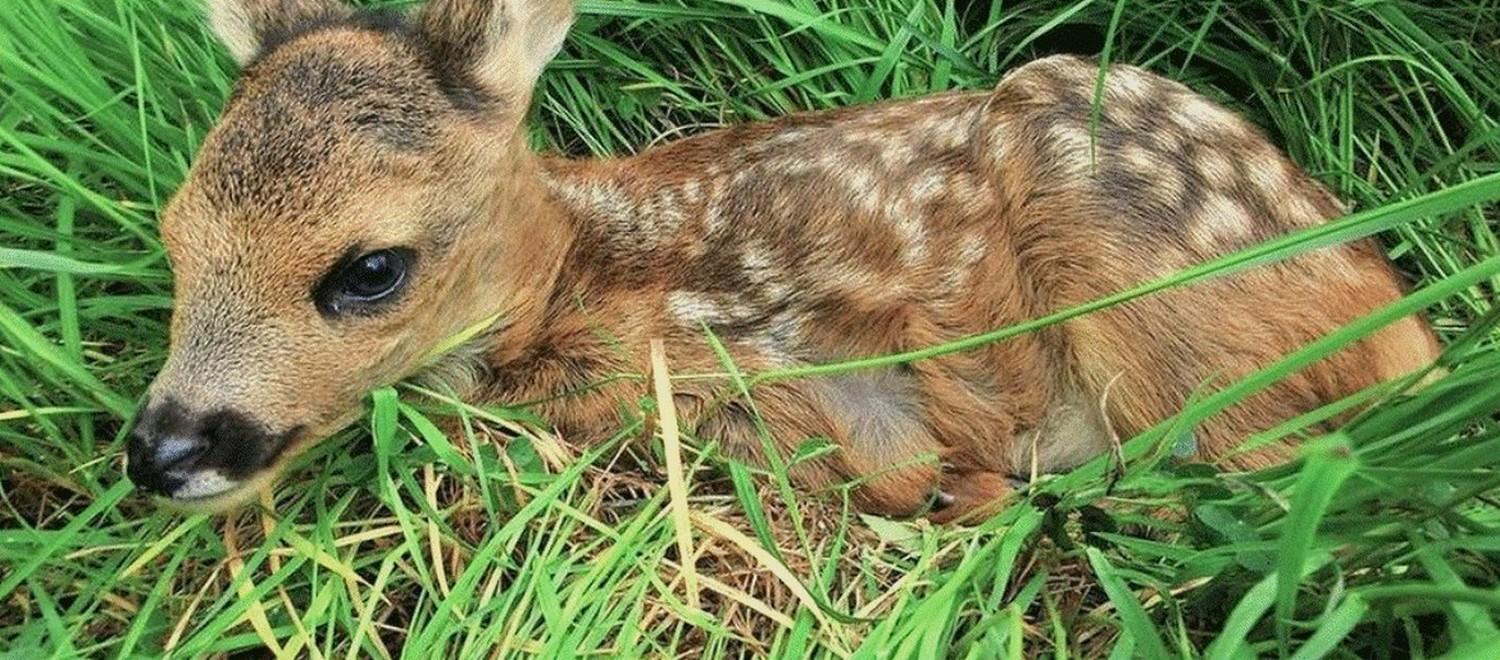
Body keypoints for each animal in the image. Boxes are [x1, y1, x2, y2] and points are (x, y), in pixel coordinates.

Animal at [126, 0, 1440, 522]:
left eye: (370, 270)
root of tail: (1402, 318)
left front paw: (949, 492)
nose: (162, 450)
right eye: (176, 234)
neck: (589, 281)